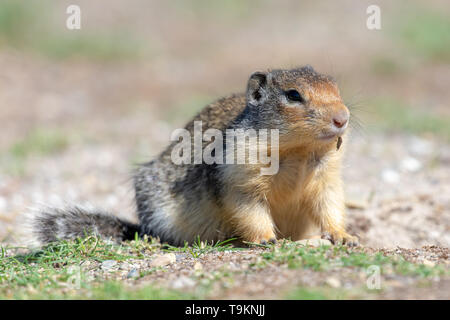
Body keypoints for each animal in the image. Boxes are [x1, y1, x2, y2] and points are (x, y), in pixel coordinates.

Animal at [30, 65, 358, 248]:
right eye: (293, 95)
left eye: (336, 87)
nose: (342, 118)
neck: (297, 151)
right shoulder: (238, 175)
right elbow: (249, 211)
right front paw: (267, 239)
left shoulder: (327, 177)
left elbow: (330, 205)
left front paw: (344, 236)